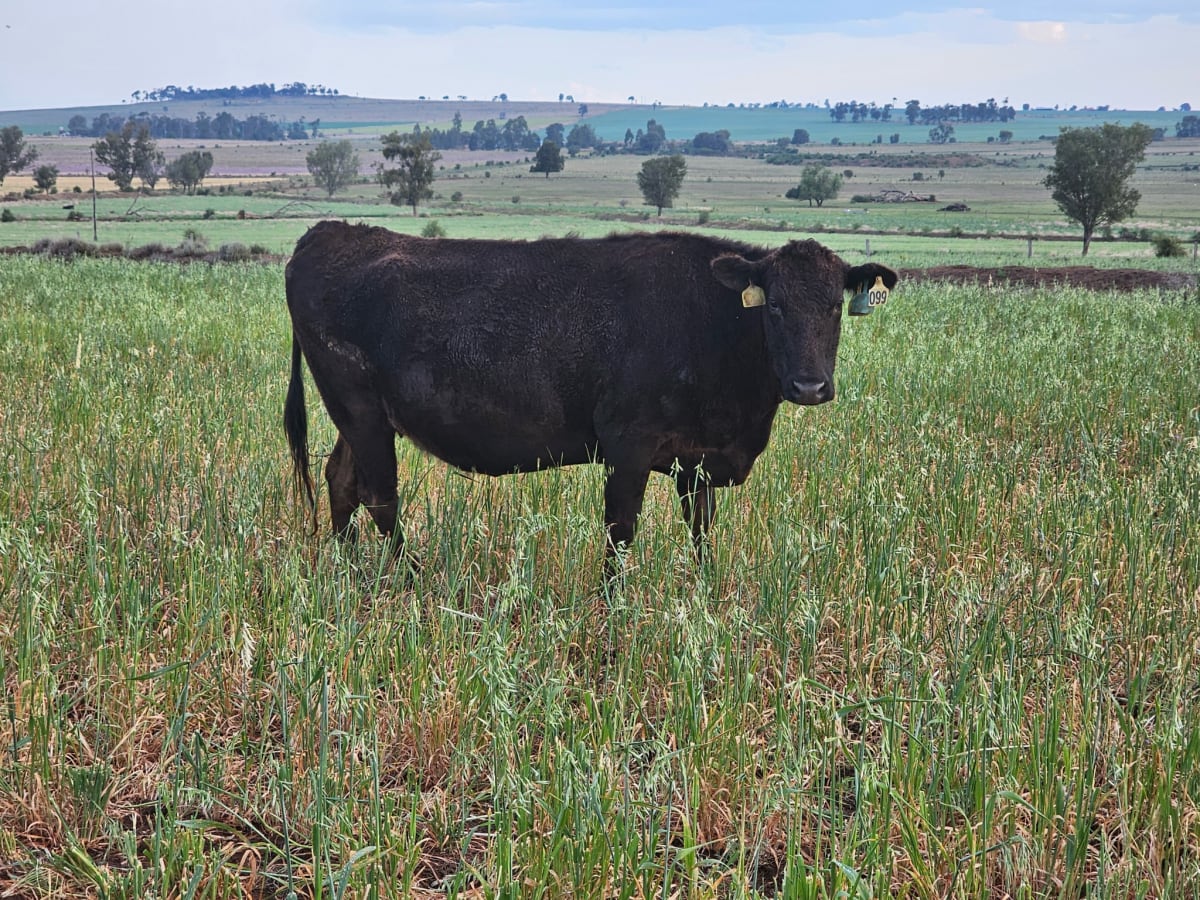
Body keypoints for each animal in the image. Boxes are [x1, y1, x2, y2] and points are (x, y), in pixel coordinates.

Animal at [284, 221, 898, 575]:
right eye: (774, 305)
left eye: (834, 306)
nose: (810, 386)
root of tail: (332, 232)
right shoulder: (628, 445)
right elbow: (620, 533)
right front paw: (612, 615)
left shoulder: (697, 461)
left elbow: (702, 533)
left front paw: (705, 597)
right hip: (361, 410)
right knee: (380, 496)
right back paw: (410, 581)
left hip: (356, 416)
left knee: (341, 480)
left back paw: (346, 572)